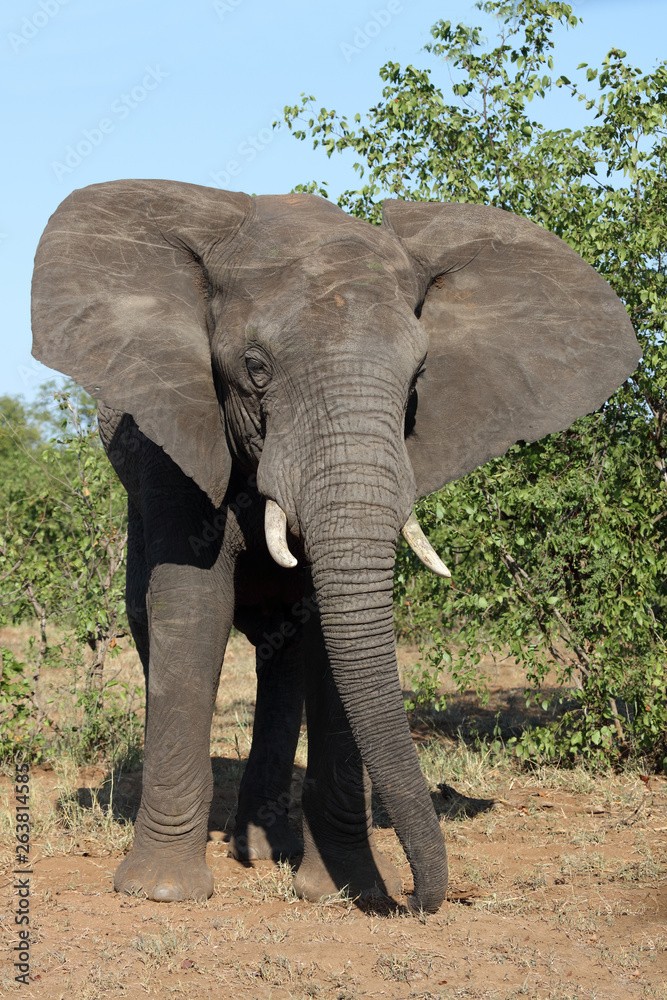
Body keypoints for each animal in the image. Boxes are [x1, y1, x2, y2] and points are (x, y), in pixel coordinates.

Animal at [31, 180, 640, 913]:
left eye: (420, 375)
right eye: (255, 368)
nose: (419, 900)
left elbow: (328, 626)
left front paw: (343, 888)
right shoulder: (173, 428)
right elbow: (193, 605)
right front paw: (161, 894)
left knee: (284, 654)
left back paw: (265, 849)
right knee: (152, 621)